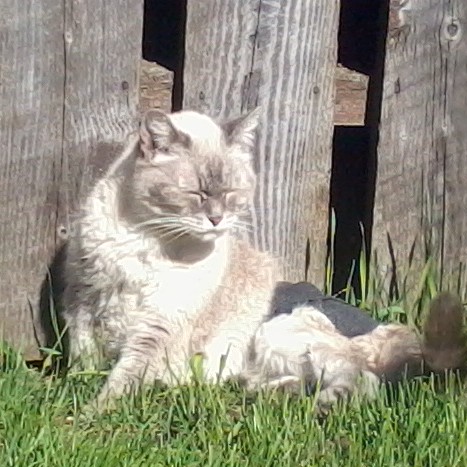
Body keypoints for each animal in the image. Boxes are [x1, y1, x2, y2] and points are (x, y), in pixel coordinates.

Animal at [63, 107, 467, 414]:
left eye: (230, 193)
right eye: (196, 194)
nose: (217, 220)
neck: (146, 236)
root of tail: (388, 328)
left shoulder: (157, 327)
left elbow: (123, 379)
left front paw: (88, 416)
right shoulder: (83, 302)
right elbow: (83, 360)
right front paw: (80, 392)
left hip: (279, 330)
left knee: (361, 380)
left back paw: (321, 406)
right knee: (307, 380)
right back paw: (264, 392)